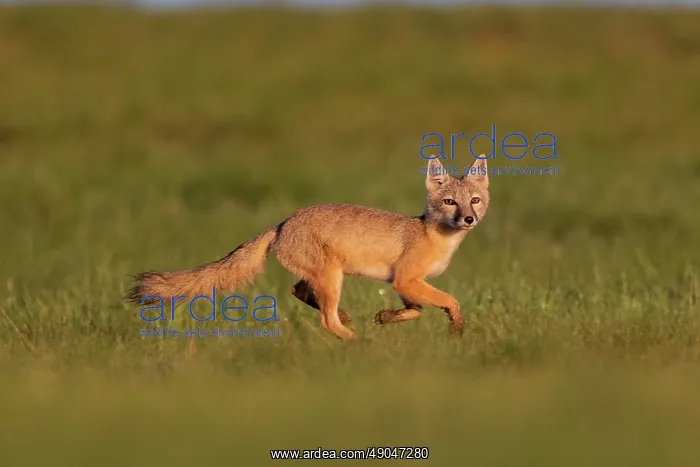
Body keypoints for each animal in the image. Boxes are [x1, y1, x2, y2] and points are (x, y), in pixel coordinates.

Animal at [126, 155, 490, 340]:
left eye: (474, 200)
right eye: (449, 202)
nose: (469, 219)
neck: (436, 237)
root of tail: (283, 222)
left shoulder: (401, 283)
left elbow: (417, 309)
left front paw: (388, 316)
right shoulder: (406, 279)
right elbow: (449, 300)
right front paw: (457, 326)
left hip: (323, 276)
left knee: (299, 291)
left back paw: (347, 320)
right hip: (332, 276)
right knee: (325, 320)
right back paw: (358, 343)